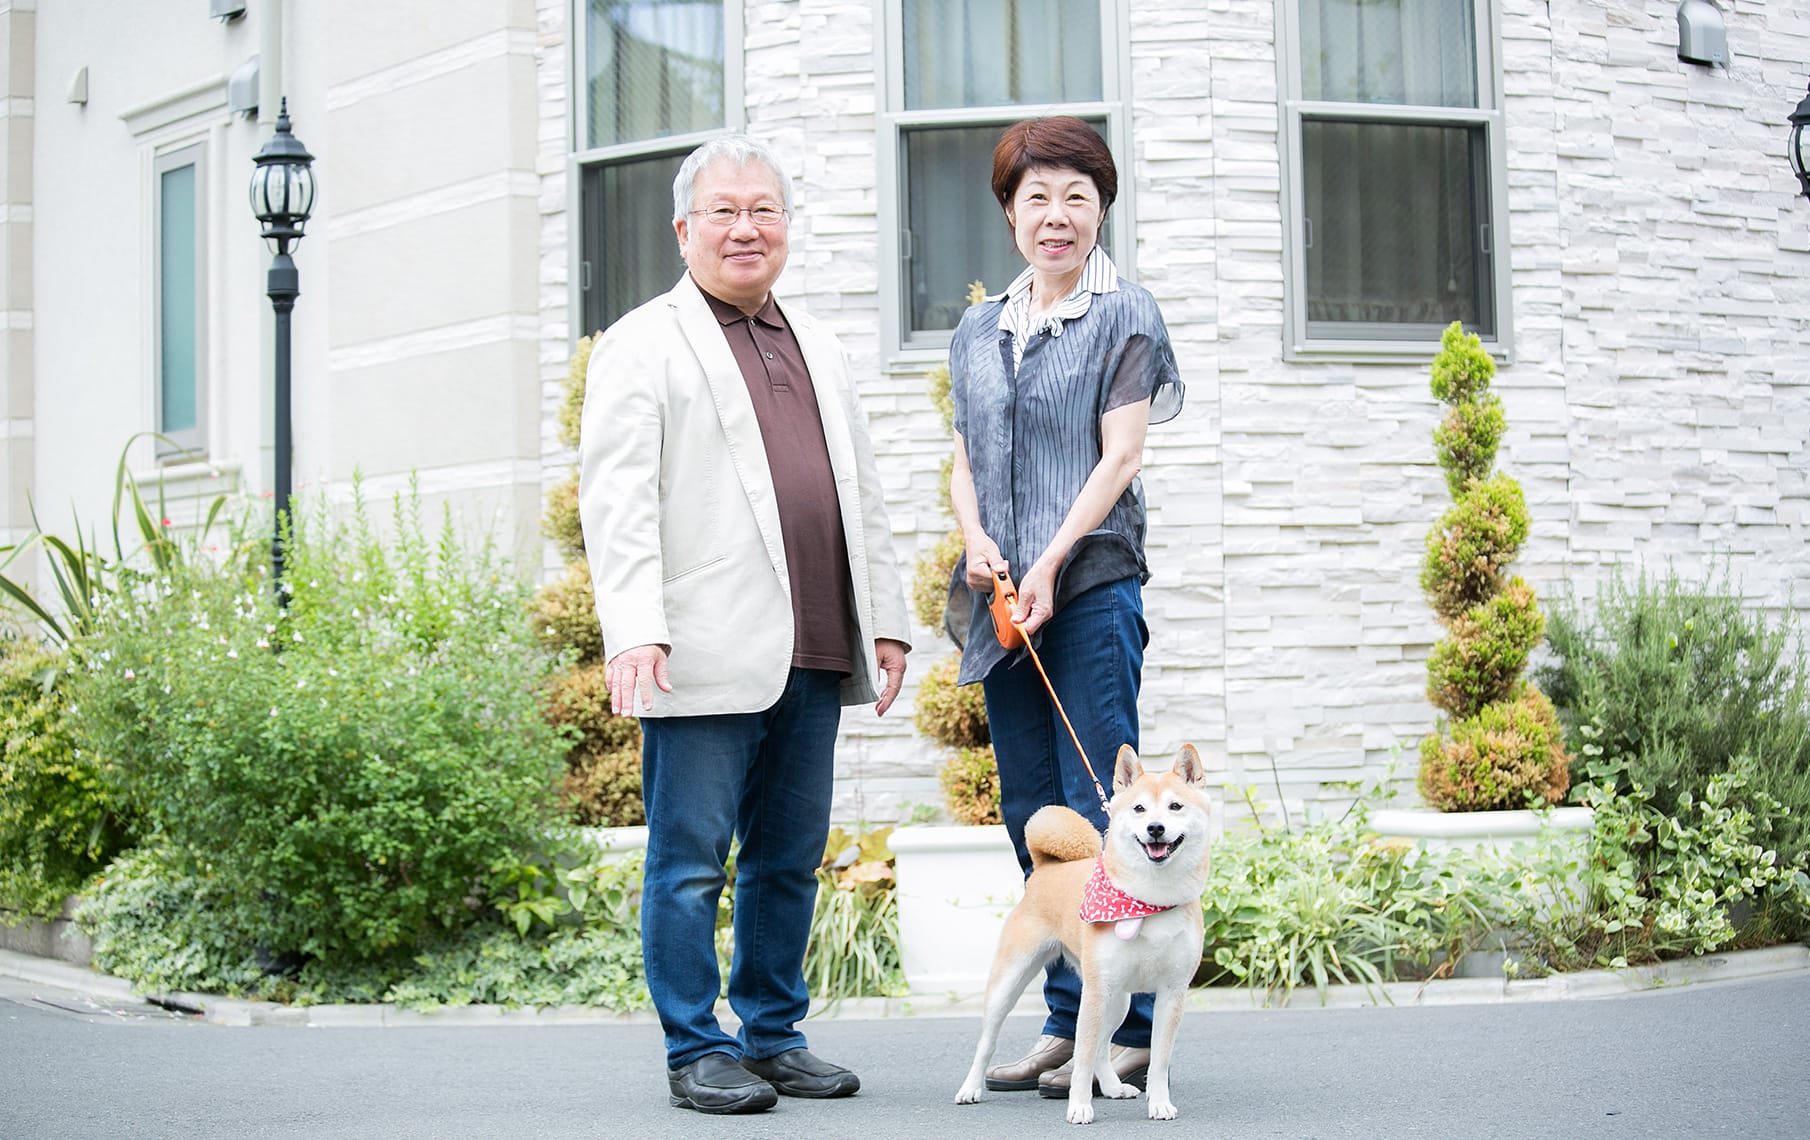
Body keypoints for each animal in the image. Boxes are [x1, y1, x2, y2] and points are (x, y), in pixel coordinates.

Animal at [955, 745, 1209, 1129]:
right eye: (1139, 808)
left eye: (1175, 806)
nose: (1155, 828)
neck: (1148, 899)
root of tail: (1047, 868)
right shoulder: (1096, 992)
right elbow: (1082, 1057)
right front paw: (1079, 1106)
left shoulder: (1172, 993)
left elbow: (1158, 1060)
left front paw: (1160, 1104)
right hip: (1018, 982)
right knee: (988, 1042)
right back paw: (971, 1087)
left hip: (1115, 998)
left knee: (1104, 1046)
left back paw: (1114, 1086)